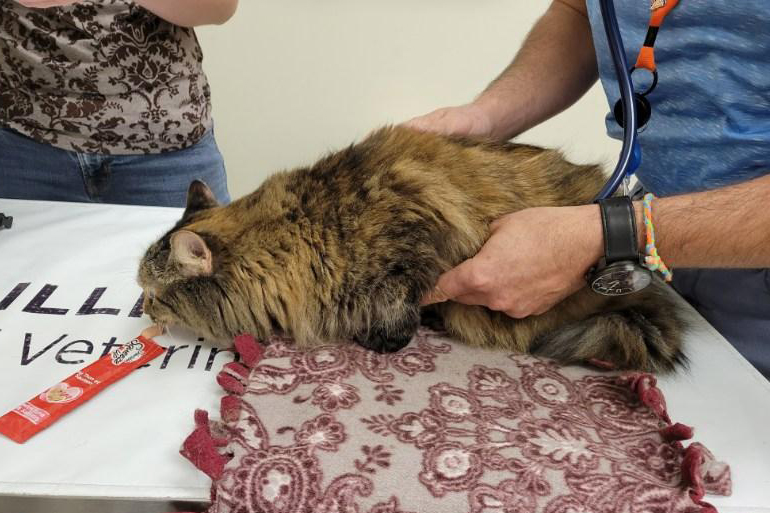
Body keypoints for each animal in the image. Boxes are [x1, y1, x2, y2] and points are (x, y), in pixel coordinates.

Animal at [136, 125, 684, 372]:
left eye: (154, 293)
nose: (143, 308)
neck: (301, 230)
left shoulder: (415, 243)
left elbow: (399, 311)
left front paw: (380, 339)